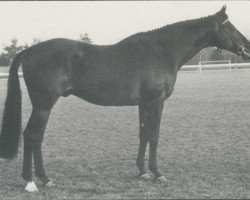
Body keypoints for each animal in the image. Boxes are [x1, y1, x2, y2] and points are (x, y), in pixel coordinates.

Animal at [0, 5, 250, 191]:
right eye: (231, 27)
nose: (247, 46)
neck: (162, 51)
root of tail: (31, 50)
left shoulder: (144, 103)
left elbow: (143, 134)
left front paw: (142, 172)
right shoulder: (156, 101)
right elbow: (154, 135)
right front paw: (157, 173)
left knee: (36, 137)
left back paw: (42, 179)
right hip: (44, 105)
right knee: (32, 135)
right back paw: (33, 182)